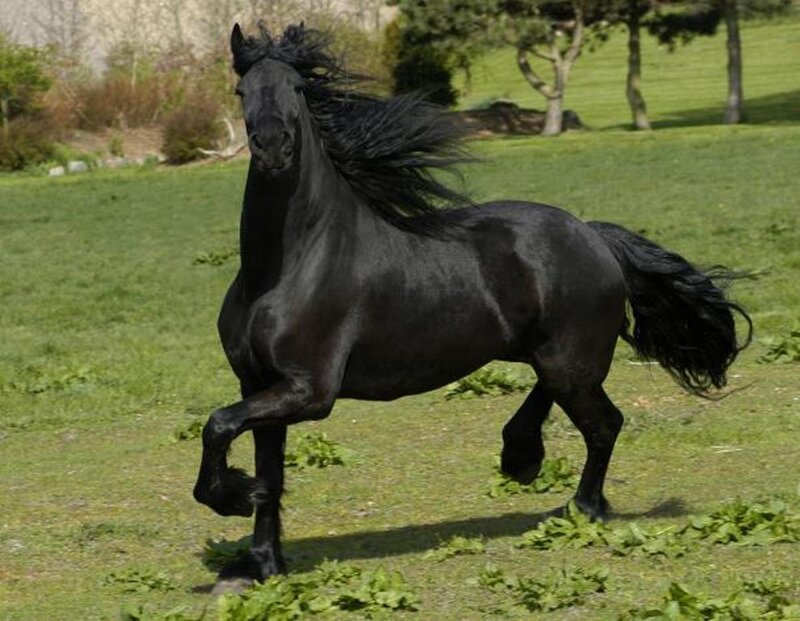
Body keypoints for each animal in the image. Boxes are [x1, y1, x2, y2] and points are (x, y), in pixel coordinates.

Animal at [193, 22, 752, 591]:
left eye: (299, 89)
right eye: (241, 90)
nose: (273, 147)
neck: (286, 267)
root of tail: (592, 235)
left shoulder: (310, 390)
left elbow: (218, 425)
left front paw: (231, 498)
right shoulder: (260, 384)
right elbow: (268, 469)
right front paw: (260, 563)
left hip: (570, 361)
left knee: (604, 424)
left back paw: (581, 507)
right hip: (546, 355)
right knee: (559, 399)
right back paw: (520, 454)